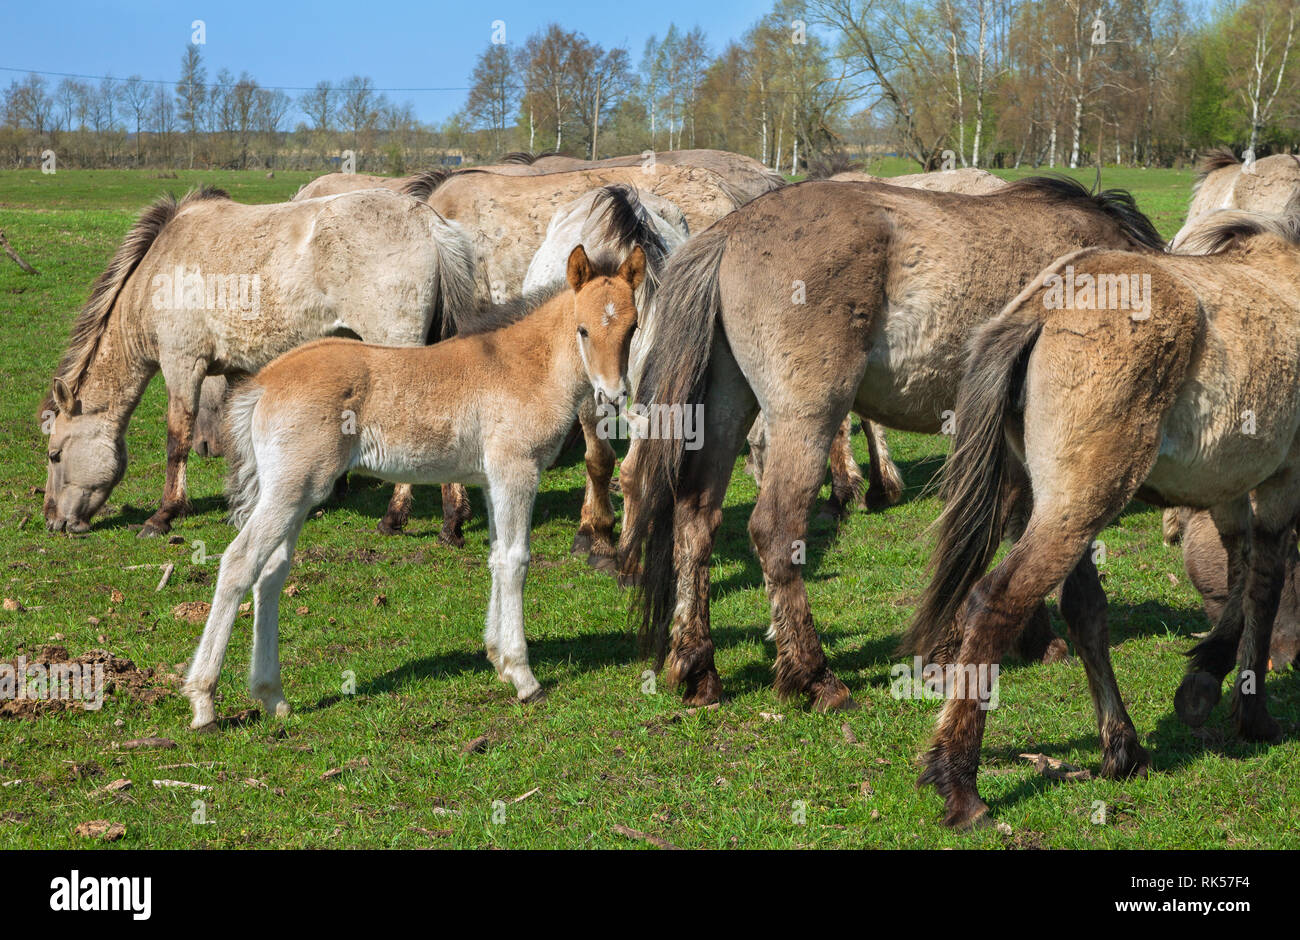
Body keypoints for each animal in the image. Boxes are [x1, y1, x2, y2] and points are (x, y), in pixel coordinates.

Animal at [41, 187, 478, 542]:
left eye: (54, 455)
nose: (53, 521)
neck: (157, 275)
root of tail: (428, 221)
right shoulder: (238, 370)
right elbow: (237, 437)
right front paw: (242, 503)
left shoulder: (183, 365)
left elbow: (176, 440)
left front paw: (163, 516)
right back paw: (451, 522)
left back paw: (395, 518)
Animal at [181, 244, 645, 729]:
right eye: (583, 329)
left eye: (632, 327)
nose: (614, 395)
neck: (524, 366)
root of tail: (264, 382)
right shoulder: (516, 471)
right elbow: (516, 560)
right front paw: (523, 677)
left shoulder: (491, 480)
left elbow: (497, 557)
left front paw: (498, 659)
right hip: (290, 491)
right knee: (239, 562)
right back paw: (204, 700)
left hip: (296, 494)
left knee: (270, 574)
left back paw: (273, 697)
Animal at [621, 176, 1166, 712]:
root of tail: (730, 231)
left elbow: (1012, 524)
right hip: (805, 419)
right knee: (775, 532)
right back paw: (816, 677)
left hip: (728, 408)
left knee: (696, 520)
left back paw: (698, 668)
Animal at [901, 204, 1300, 828]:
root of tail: (1043, 307)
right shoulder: (1281, 482)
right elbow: (1264, 585)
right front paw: (1250, 711)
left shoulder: (1230, 487)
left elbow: (1238, 577)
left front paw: (1205, 677)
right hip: (1077, 509)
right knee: (995, 602)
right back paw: (961, 785)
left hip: (1069, 510)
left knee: (1084, 610)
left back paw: (1123, 749)